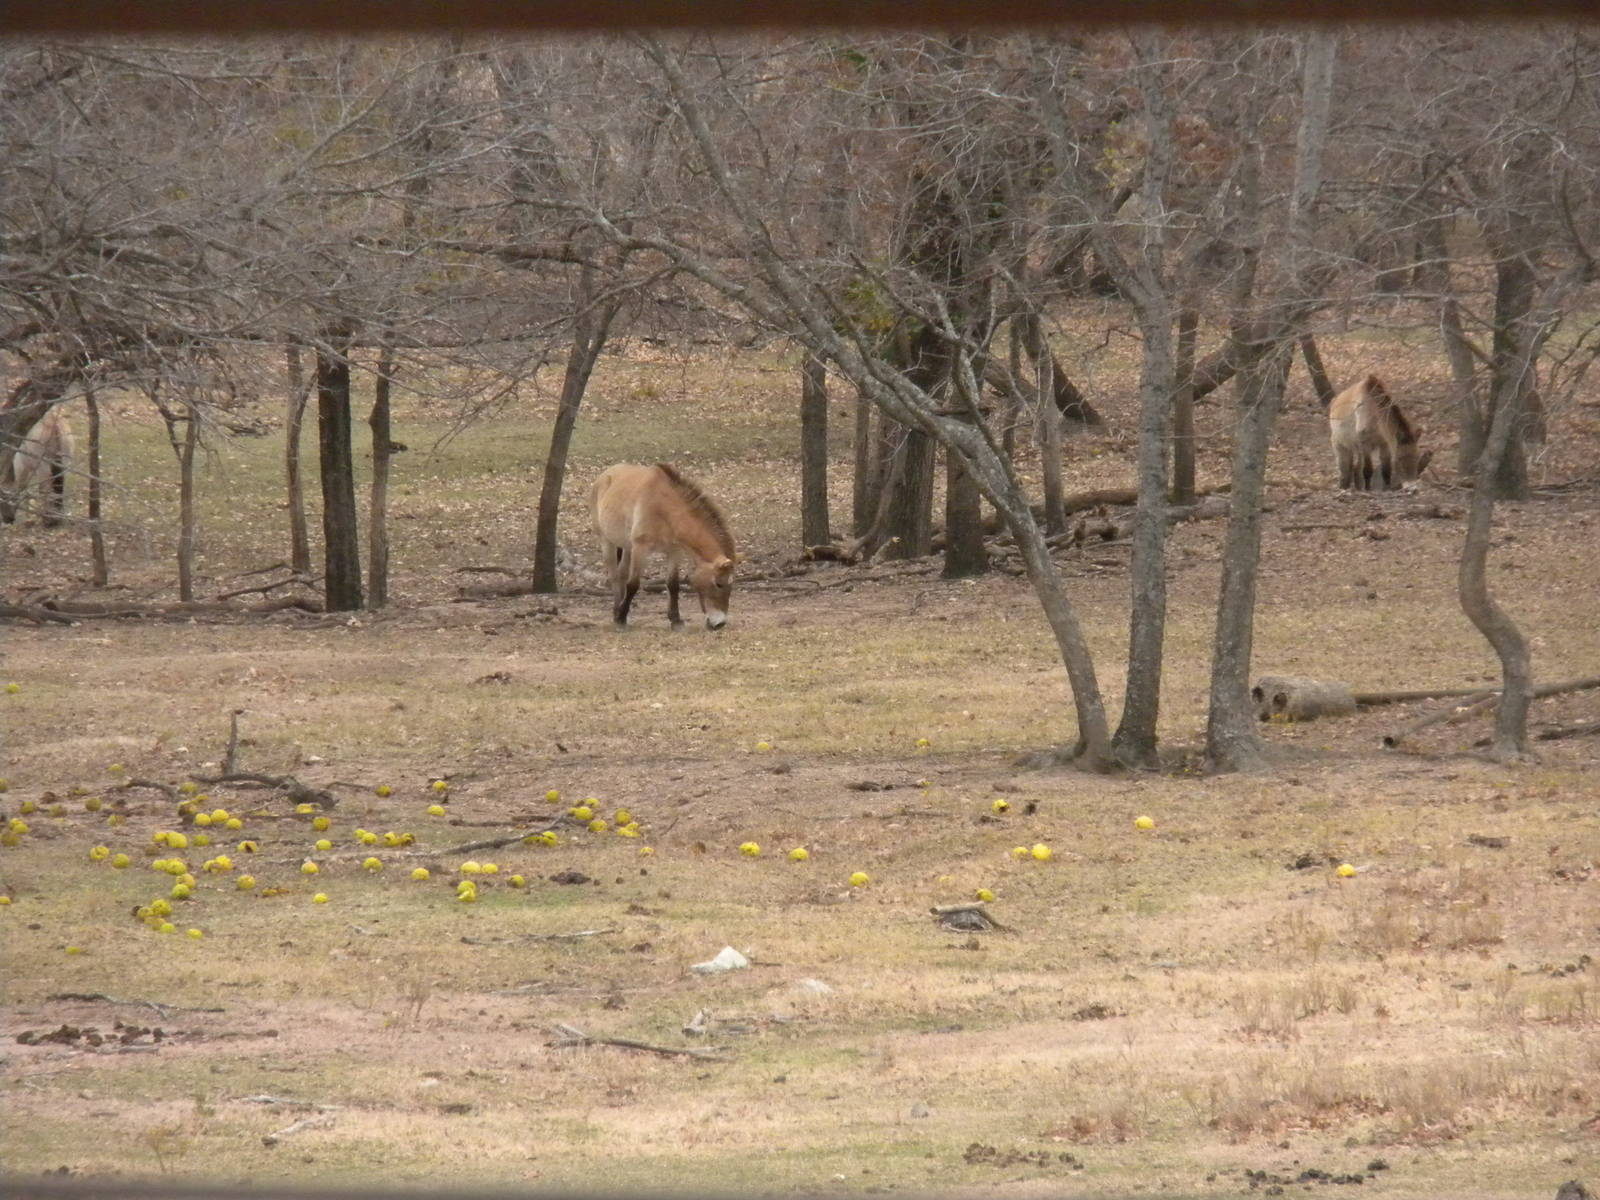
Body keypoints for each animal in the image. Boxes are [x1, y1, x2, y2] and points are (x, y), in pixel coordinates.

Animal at [591, 462, 737, 631]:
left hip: (627, 547)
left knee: (622, 574)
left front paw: (676, 620)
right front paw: (621, 619)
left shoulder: (674, 551)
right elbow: (633, 584)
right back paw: (617, 613)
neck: (664, 508)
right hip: (607, 541)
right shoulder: (640, 548)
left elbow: (673, 585)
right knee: (614, 576)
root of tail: (605, 475)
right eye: (719, 584)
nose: (719, 624)